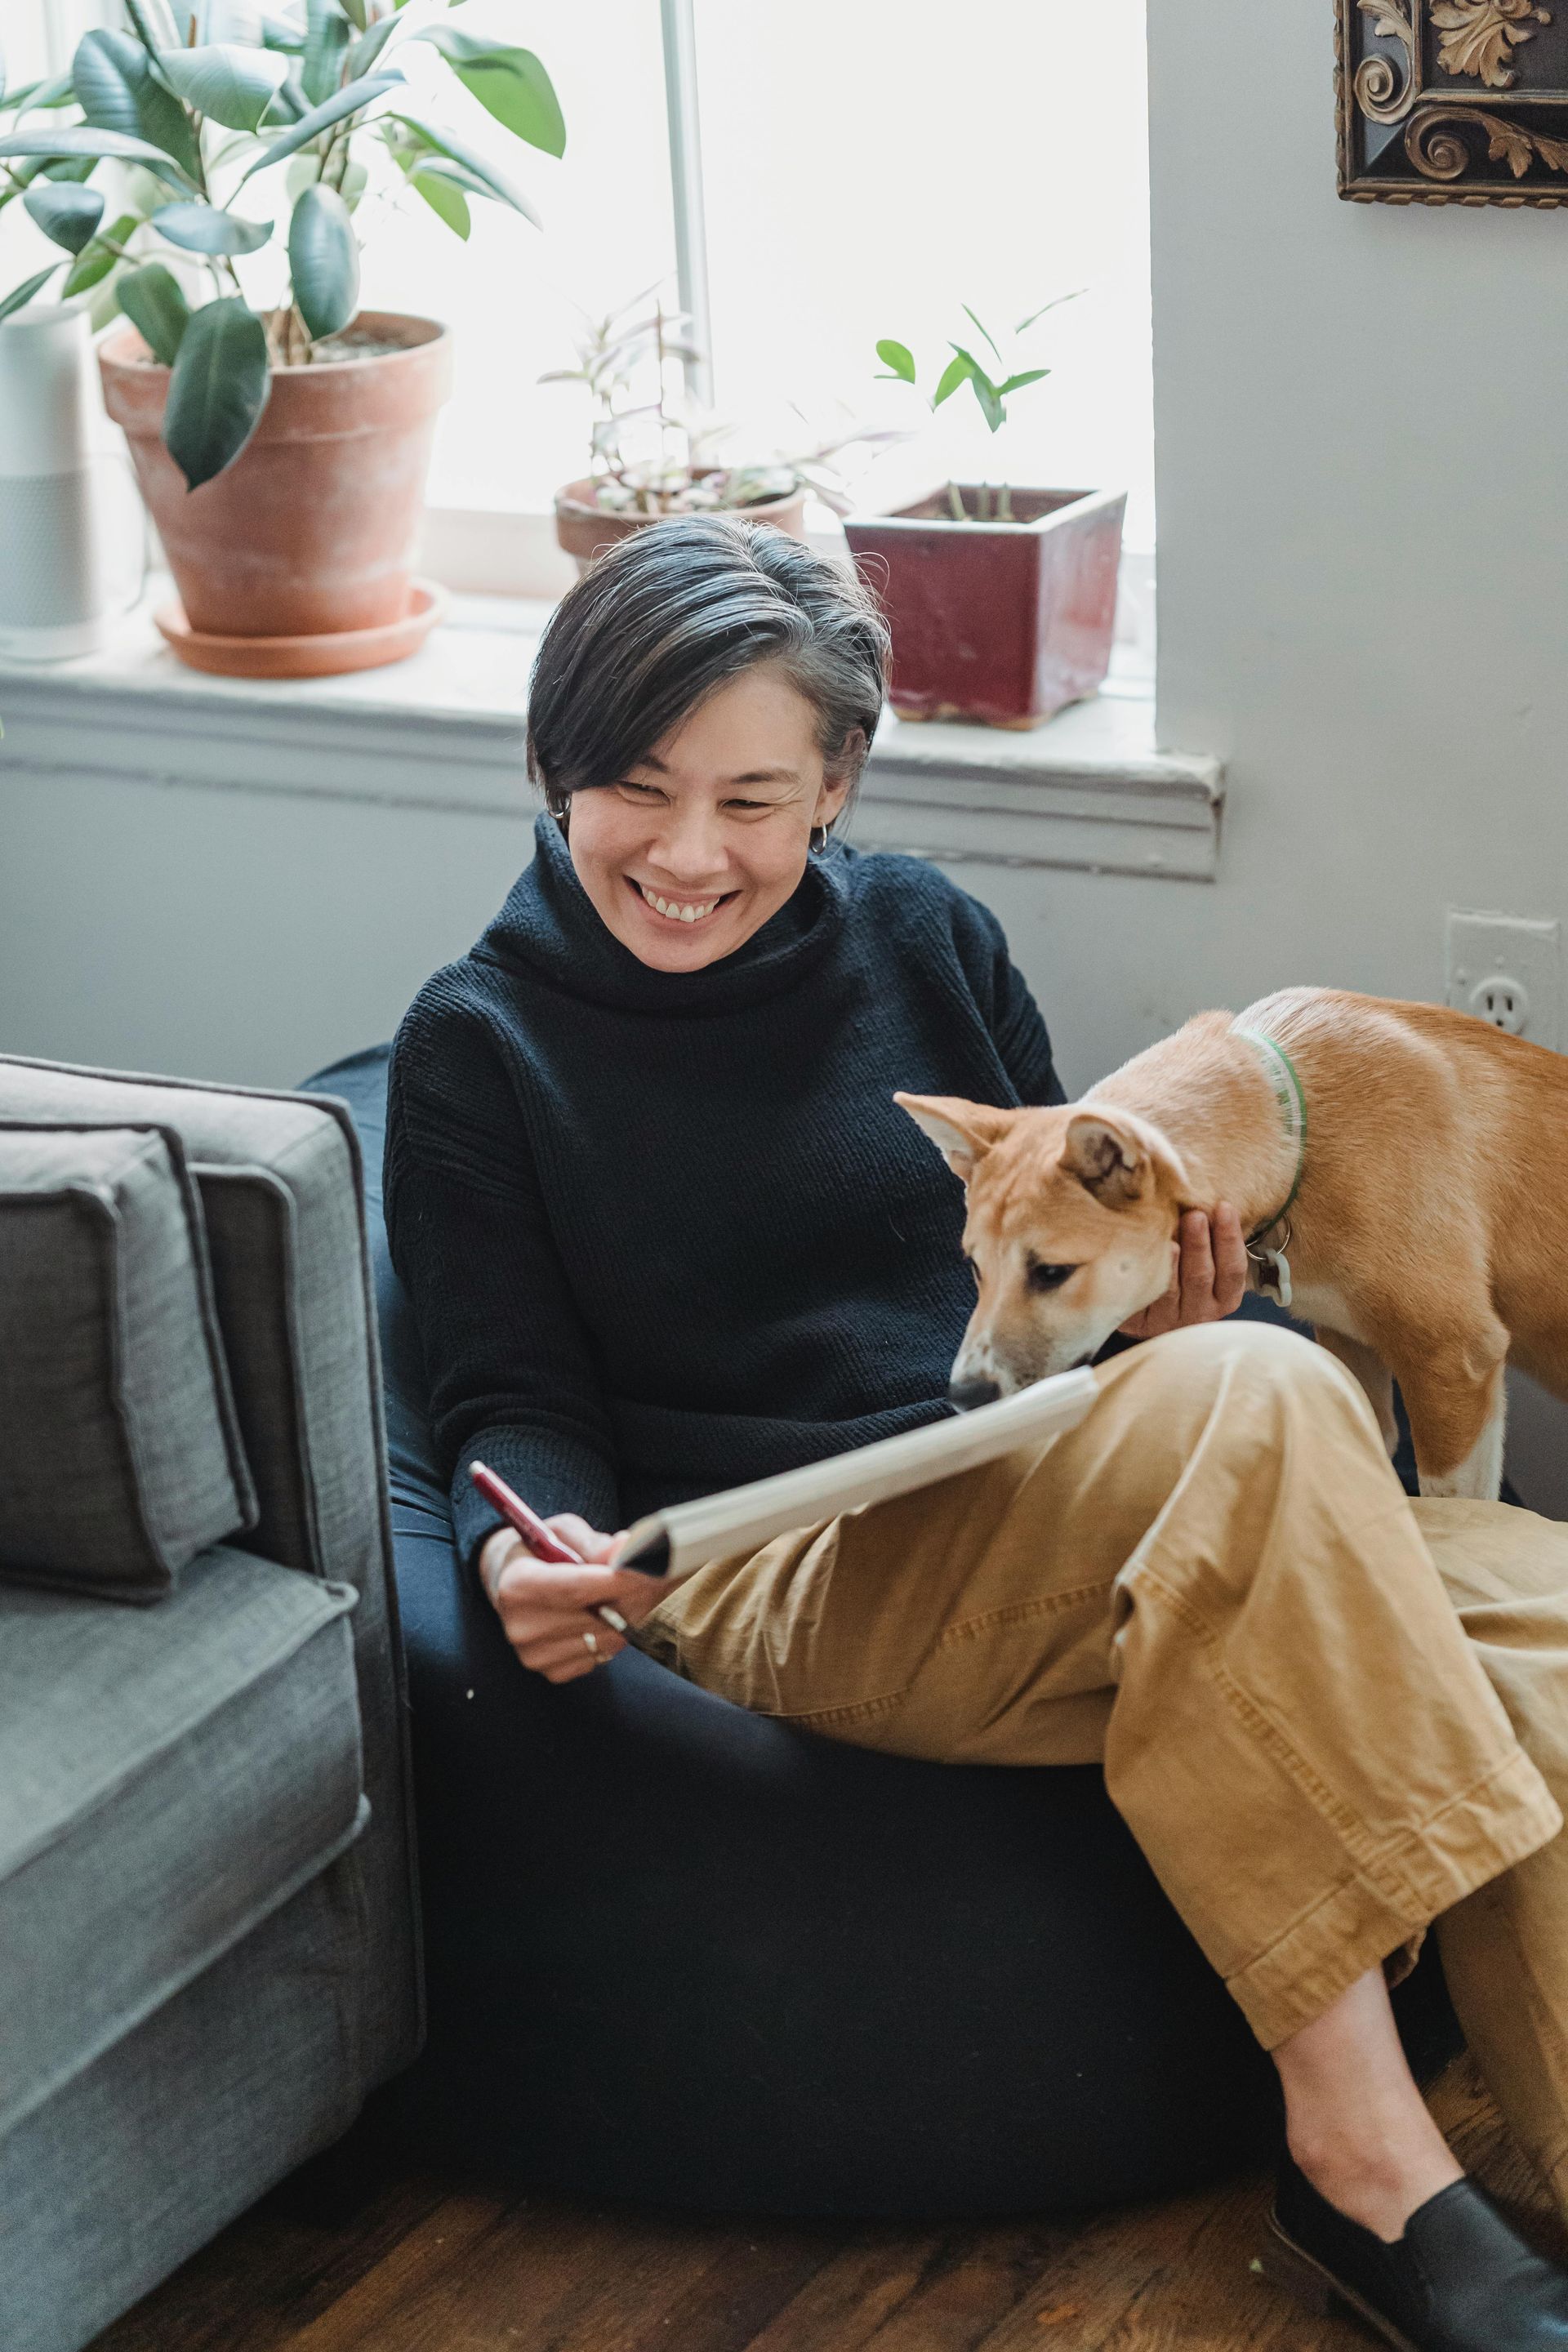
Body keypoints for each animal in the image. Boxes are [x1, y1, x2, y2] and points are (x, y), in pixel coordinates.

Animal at [902, 982, 1568, 1495]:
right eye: (976, 1269)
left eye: (1051, 1273)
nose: (965, 1396)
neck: (1297, 1131)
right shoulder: (1349, 1345)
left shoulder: (1454, 1359)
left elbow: (1457, 1509)